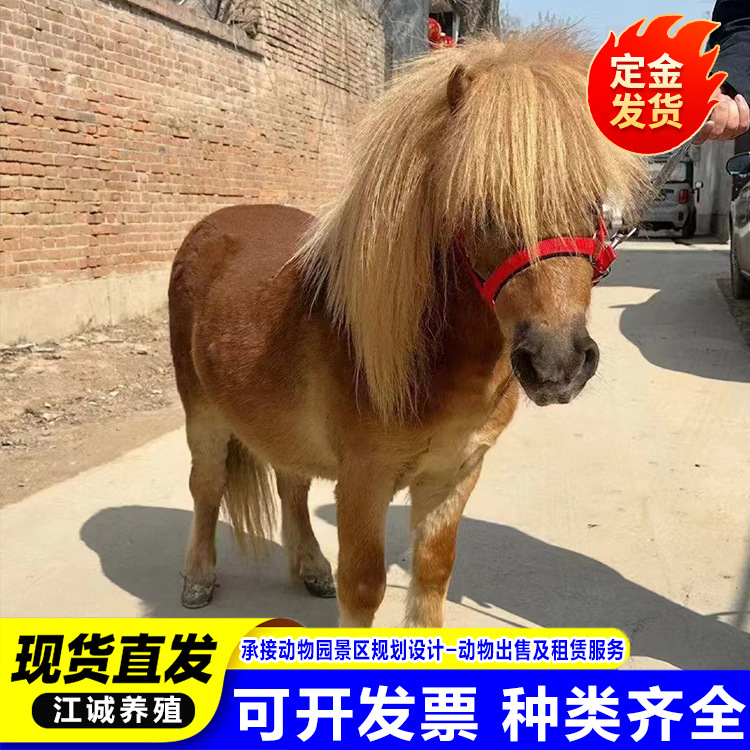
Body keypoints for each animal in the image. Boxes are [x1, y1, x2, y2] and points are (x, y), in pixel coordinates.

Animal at [168, 30, 646, 627]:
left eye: (591, 204)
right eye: (480, 206)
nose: (557, 364)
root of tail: (213, 225)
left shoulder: (455, 474)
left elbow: (433, 573)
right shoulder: (363, 482)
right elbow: (363, 587)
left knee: (291, 482)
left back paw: (310, 568)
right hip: (203, 413)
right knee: (206, 485)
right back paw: (197, 579)